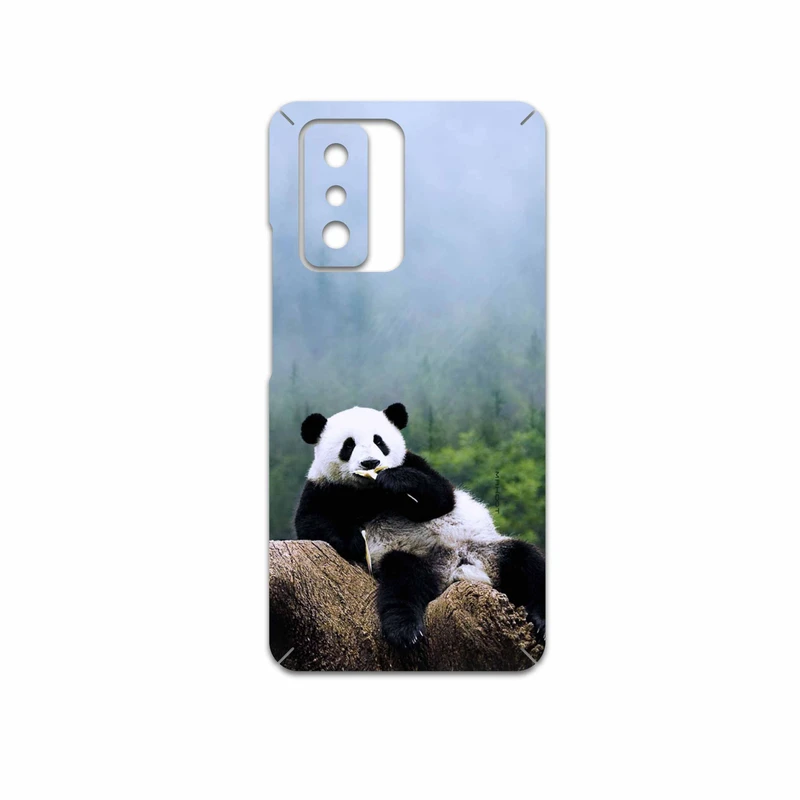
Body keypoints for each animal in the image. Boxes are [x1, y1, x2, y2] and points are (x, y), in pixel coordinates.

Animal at [294, 402, 545, 648]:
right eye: (348, 445)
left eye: (379, 441)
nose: (371, 463)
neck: (370, 492)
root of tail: (456, 566)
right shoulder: (324, 487)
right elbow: (310, 522)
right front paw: (356, 542)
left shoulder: (414, 463)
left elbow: (440, 498)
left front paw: (396, 481)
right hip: (416, 559)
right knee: (403, 581)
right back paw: (404, 630)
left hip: (485, 548)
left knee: (527, 562)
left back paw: (540, 621)